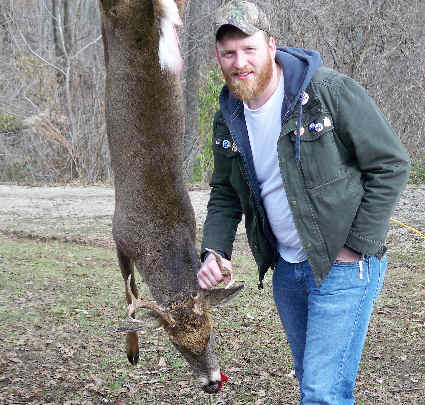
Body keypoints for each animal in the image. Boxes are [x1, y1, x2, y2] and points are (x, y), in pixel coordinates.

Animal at [97, 0, 242, 392]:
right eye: (177, 344)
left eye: (211, 333)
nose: (212, 382)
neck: (159, 233)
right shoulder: (119, 235)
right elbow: (129, 293)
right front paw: (132, 350)